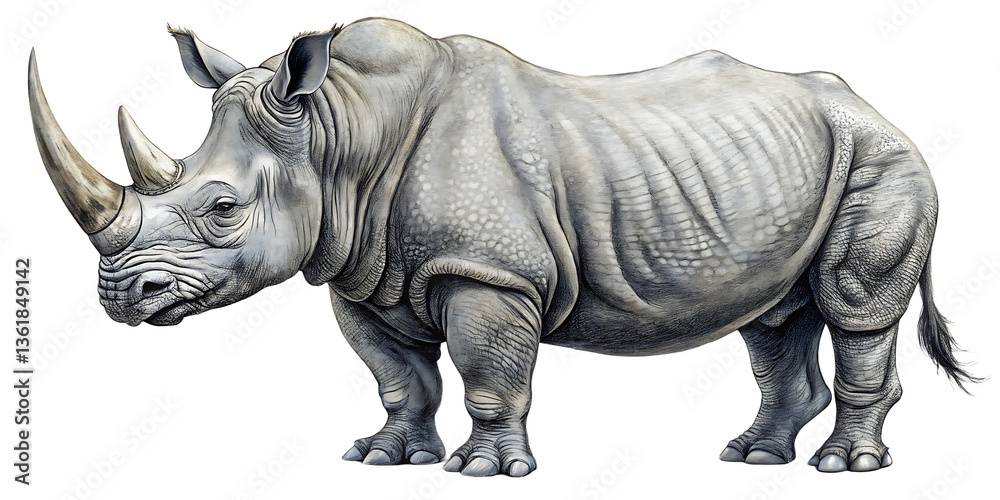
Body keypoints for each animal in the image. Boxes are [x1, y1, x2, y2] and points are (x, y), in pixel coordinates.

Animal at [29, 18, 977, 477]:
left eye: (221, 207)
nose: (121, 299)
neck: (340, 135)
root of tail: (879, 109)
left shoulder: (489, 271)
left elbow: (489, 372)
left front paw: (482, 470)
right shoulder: (360, 273)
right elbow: (398, 375)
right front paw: (387, 458)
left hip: (882, 160)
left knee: (856, 309)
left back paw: (845, 465)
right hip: (793, 164)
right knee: (774, 319)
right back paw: (753, 458)